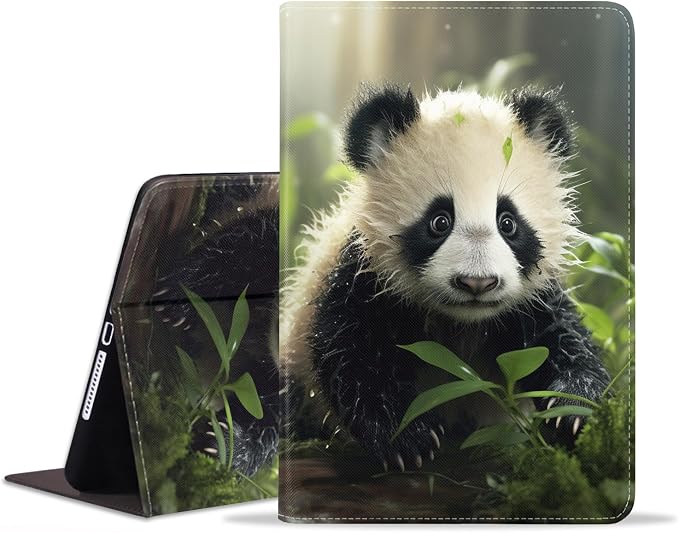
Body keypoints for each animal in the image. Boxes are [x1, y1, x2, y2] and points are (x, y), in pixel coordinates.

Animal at [280, 83, 610, 472]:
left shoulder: (533, 298)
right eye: (440, 221)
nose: (477, 283)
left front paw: (572, 408)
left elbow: (561, 336)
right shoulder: (365, 275)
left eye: (508, 222)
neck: (461, 322)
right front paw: (407, 437)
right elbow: (349, 350)